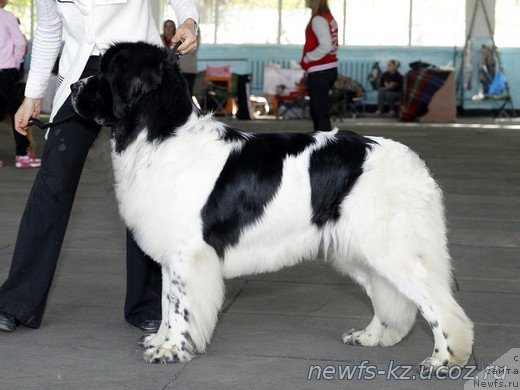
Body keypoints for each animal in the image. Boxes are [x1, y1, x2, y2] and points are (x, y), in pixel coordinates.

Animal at [71, 41, 474, 370]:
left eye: (105, 72)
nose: (74, 87)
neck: (160, 134)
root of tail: (415, 163)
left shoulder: (189, 253)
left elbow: (180, 306)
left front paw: (171, 351)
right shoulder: (174, 254)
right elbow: (168, 303)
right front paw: (160, 340)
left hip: (391, 247)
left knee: (439, 304)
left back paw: (445, 358)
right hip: (358, 249)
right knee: (389, 297)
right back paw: (371, 337)